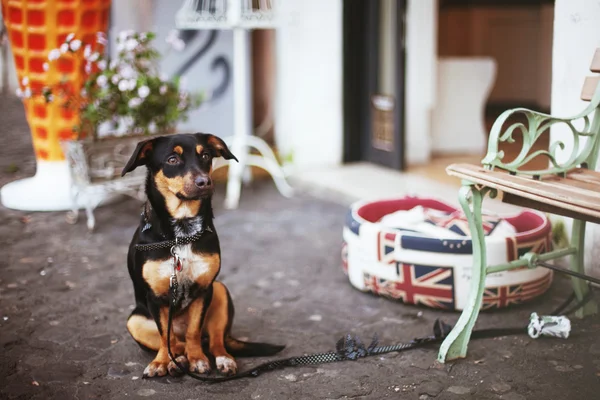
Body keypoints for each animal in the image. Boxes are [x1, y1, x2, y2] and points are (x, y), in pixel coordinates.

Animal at [123, 134, 284, 378]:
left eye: (206, 155)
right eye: (172, 159)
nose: (204, 182)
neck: (181, 234)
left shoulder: (204, 289)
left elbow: (194, 331)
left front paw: (197, 359)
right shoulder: (155, 297)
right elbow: (164, 335)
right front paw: (160, 362)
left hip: (220, 291)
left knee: (214, 341)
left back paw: (221, 360)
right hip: (135, 320)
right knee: (175, 342)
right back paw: (174, 361)